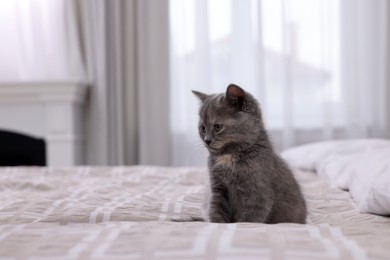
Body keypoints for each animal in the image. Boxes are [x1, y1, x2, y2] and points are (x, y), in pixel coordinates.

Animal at [193, 84, 306, 223]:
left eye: (217, 127)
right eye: (202, 128)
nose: (207, 140)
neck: (229, 156)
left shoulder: (258, 195)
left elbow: (248, 220)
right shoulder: (217, 189)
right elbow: (216, 211)